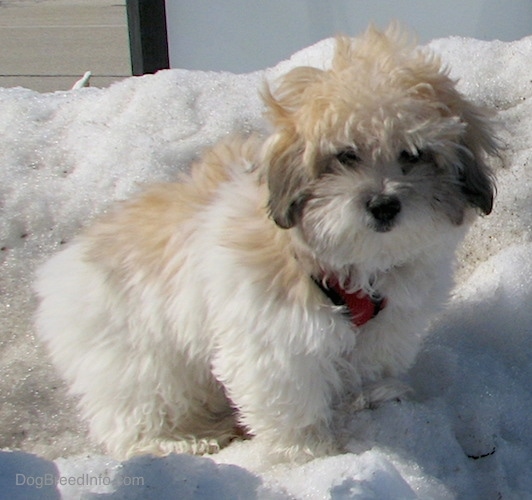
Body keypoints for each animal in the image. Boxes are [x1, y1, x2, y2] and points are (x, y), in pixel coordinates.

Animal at [35, 25, 496, 458]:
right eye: (345, 155)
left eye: (413, 154)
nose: (383, 204)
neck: (350, 263)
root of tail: (61, 272)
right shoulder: (274, 332)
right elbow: (289, 396)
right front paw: (308, 449)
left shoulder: (389, 323)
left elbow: (363, 363)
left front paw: (366, 399)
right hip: (138, 359)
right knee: (136, 418)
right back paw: (182, 441)